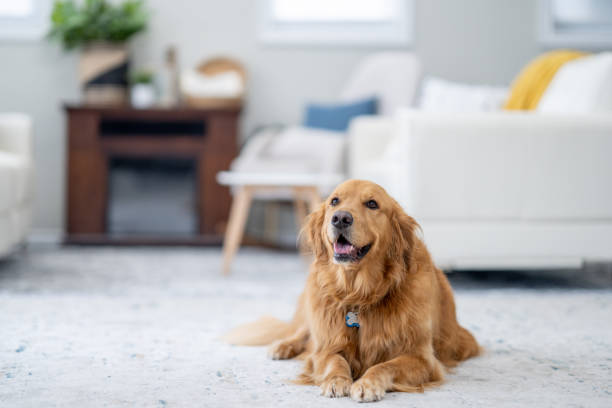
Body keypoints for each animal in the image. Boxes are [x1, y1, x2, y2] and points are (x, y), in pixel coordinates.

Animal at [225, 181, 478, 402]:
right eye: (334, 201)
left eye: (372, 204)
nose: (340, 218)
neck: (359, 293)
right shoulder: (324, 347)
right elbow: (334, 360)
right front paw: (337, 380)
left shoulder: (421, 358)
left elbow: (385, 365)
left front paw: (367, 383)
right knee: (301, 332)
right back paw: (282, 346)